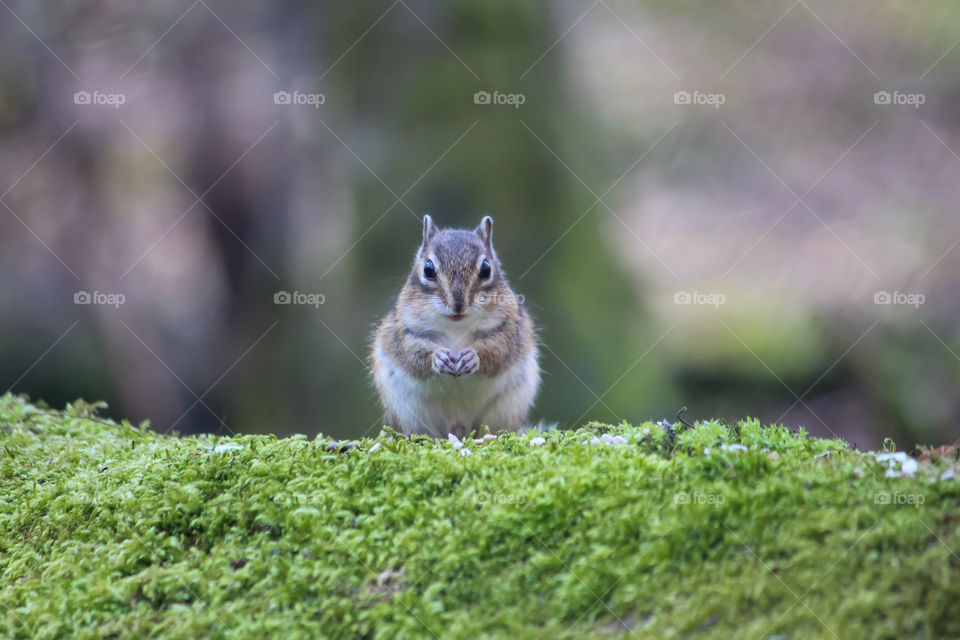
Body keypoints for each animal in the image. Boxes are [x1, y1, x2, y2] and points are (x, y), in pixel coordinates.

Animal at [371, 215, 540, 438]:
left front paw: (472, 357)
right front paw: (438, 358)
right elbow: (413, 354)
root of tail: (458, 429)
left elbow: (497, 352)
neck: (457, 326)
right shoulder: (406, 331)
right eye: (428, 269)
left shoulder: (507, 330)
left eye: (486, 269)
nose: (458, 305)